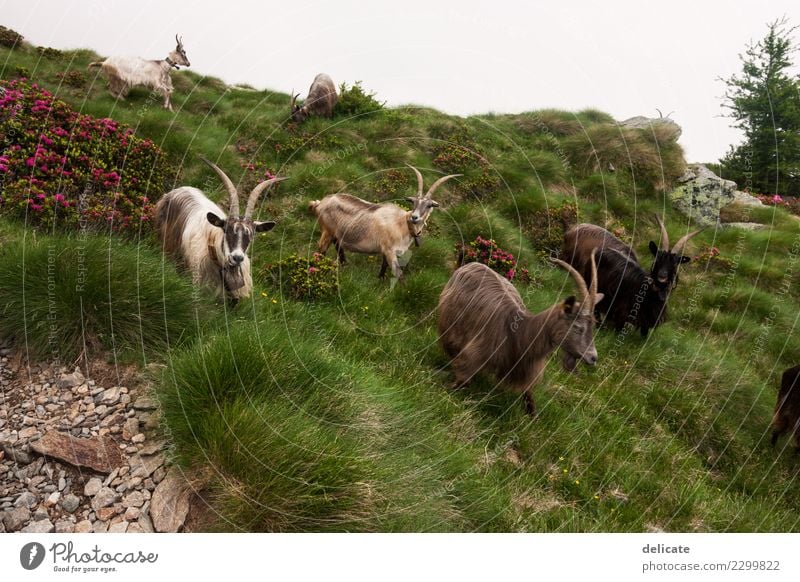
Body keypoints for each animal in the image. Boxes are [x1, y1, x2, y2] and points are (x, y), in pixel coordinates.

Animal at [310, 165, 460, 282]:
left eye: (429, 205)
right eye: (414, 202)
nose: (414, 217)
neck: (402, 224)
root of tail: (320, 203)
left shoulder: (386, 251)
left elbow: (383, 267)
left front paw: (380, 280)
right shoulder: (389, 250)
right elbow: (399, 274)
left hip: (336, 234)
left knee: (338, 246)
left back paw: (344, 264)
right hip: (327, 231)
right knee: (321, 249)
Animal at [560, 218, 704, 338]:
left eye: (675, 263)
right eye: (657, 259)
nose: (662, 276)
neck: (649, 293)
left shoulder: (647, 321)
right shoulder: (623, 314)